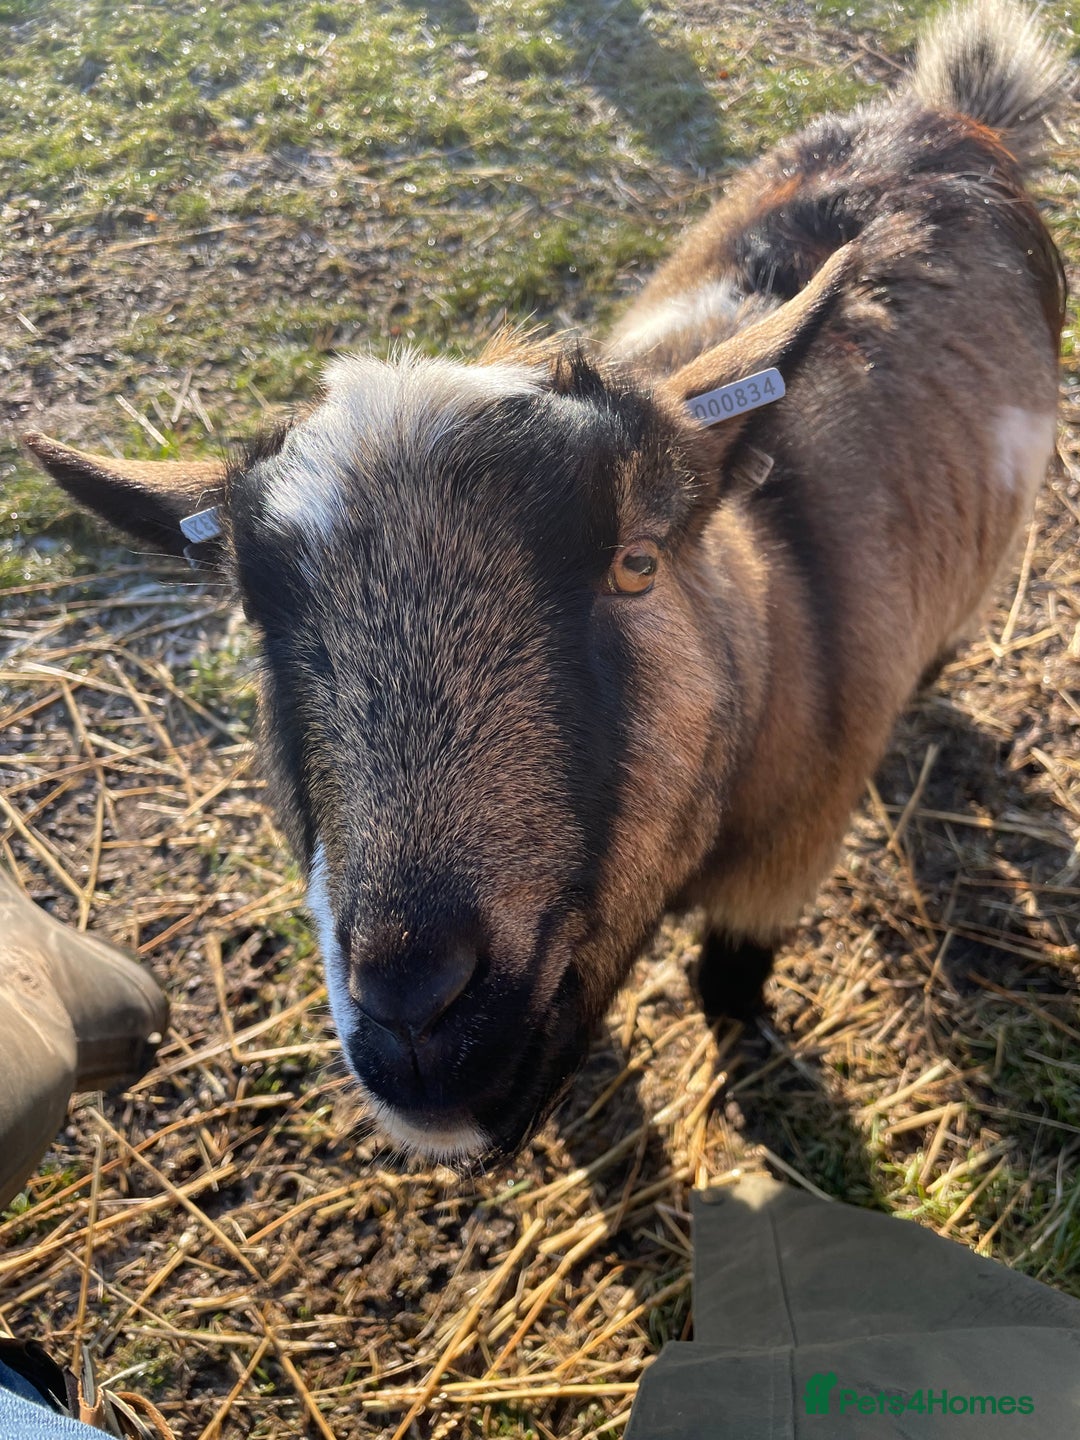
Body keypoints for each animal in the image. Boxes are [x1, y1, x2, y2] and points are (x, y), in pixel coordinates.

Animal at [24, 0, 1066, 1165]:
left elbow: (727, 989)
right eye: (257, 609)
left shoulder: (782, 865)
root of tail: (948, 118)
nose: (416, 1005)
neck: (774, 608)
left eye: (636, 563)